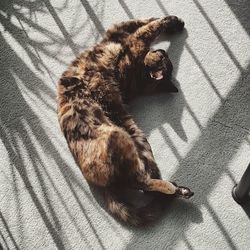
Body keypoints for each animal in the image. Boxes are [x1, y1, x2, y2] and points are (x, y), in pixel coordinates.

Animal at [57, 16, 193, 227]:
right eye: (164, 59)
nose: (162, 51)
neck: (135, 79)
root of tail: (101, 185)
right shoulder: (123, 37)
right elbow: (144, 24)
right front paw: (174, 22)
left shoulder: (127, 40)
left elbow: (145, 26)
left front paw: (171, 22)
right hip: (129, 137)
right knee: (141, 183)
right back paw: (175, 190)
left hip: (131, 137)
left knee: (141, 183)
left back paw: (176, 190)